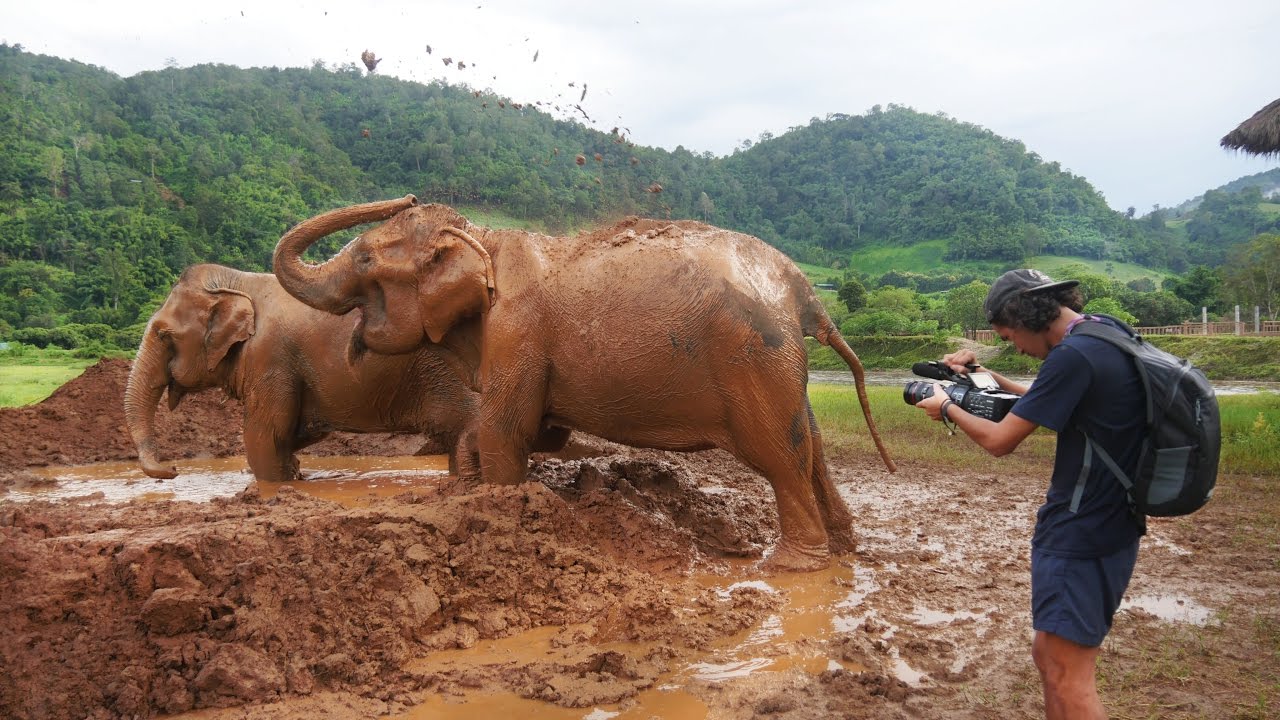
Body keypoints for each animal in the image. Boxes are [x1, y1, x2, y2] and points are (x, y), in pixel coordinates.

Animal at [123, 260, 504, 479]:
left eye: (163, 335)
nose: (173, 469)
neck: (240, 282)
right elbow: (295, 431)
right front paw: (294, 472)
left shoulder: (270, 358)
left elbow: (265, 436)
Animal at [277, 194, 901, 566]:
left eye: (363, 261)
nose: (407, 195)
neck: (485, 239)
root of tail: (802, 289)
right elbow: (523, 429)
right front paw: (466, 486)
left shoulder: (518, 330)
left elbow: (509, 430)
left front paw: (501, 507)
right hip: (779, 367)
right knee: (810, 445)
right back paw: (845, 548)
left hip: (752, 359)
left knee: (780, 457)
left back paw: (794, 566)